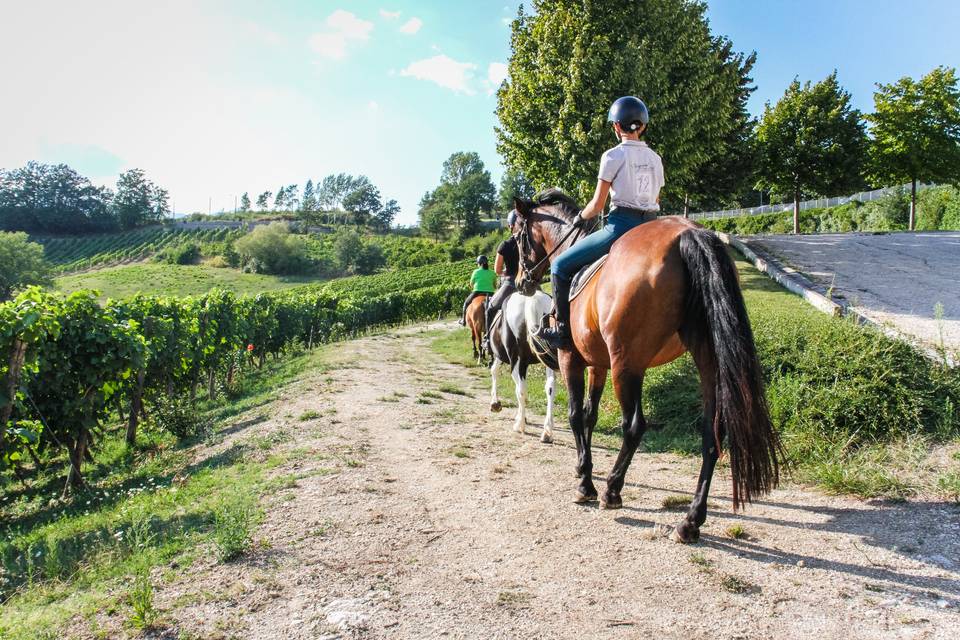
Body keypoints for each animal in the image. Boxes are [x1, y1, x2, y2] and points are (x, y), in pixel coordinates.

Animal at [488, 292, 564, 444]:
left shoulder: (504, 357)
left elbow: (495, 371)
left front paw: (496, 404)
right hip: (548, 359)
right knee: (550, 387)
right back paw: (547, 432)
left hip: (517, 360)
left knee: (521, 389)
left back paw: (520, 425)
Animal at [512, 191, 776, 544]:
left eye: (518, 237)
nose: (521, 281)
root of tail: (688, 234)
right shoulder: (598, 365)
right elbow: (590, 415)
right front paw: (584, 468)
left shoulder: (573, 359)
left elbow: (575, 415)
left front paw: (585, 482)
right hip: (707, 362)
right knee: (712, 433)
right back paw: (690, 521)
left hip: (627, 364)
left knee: (635, 426)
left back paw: (612, 490)